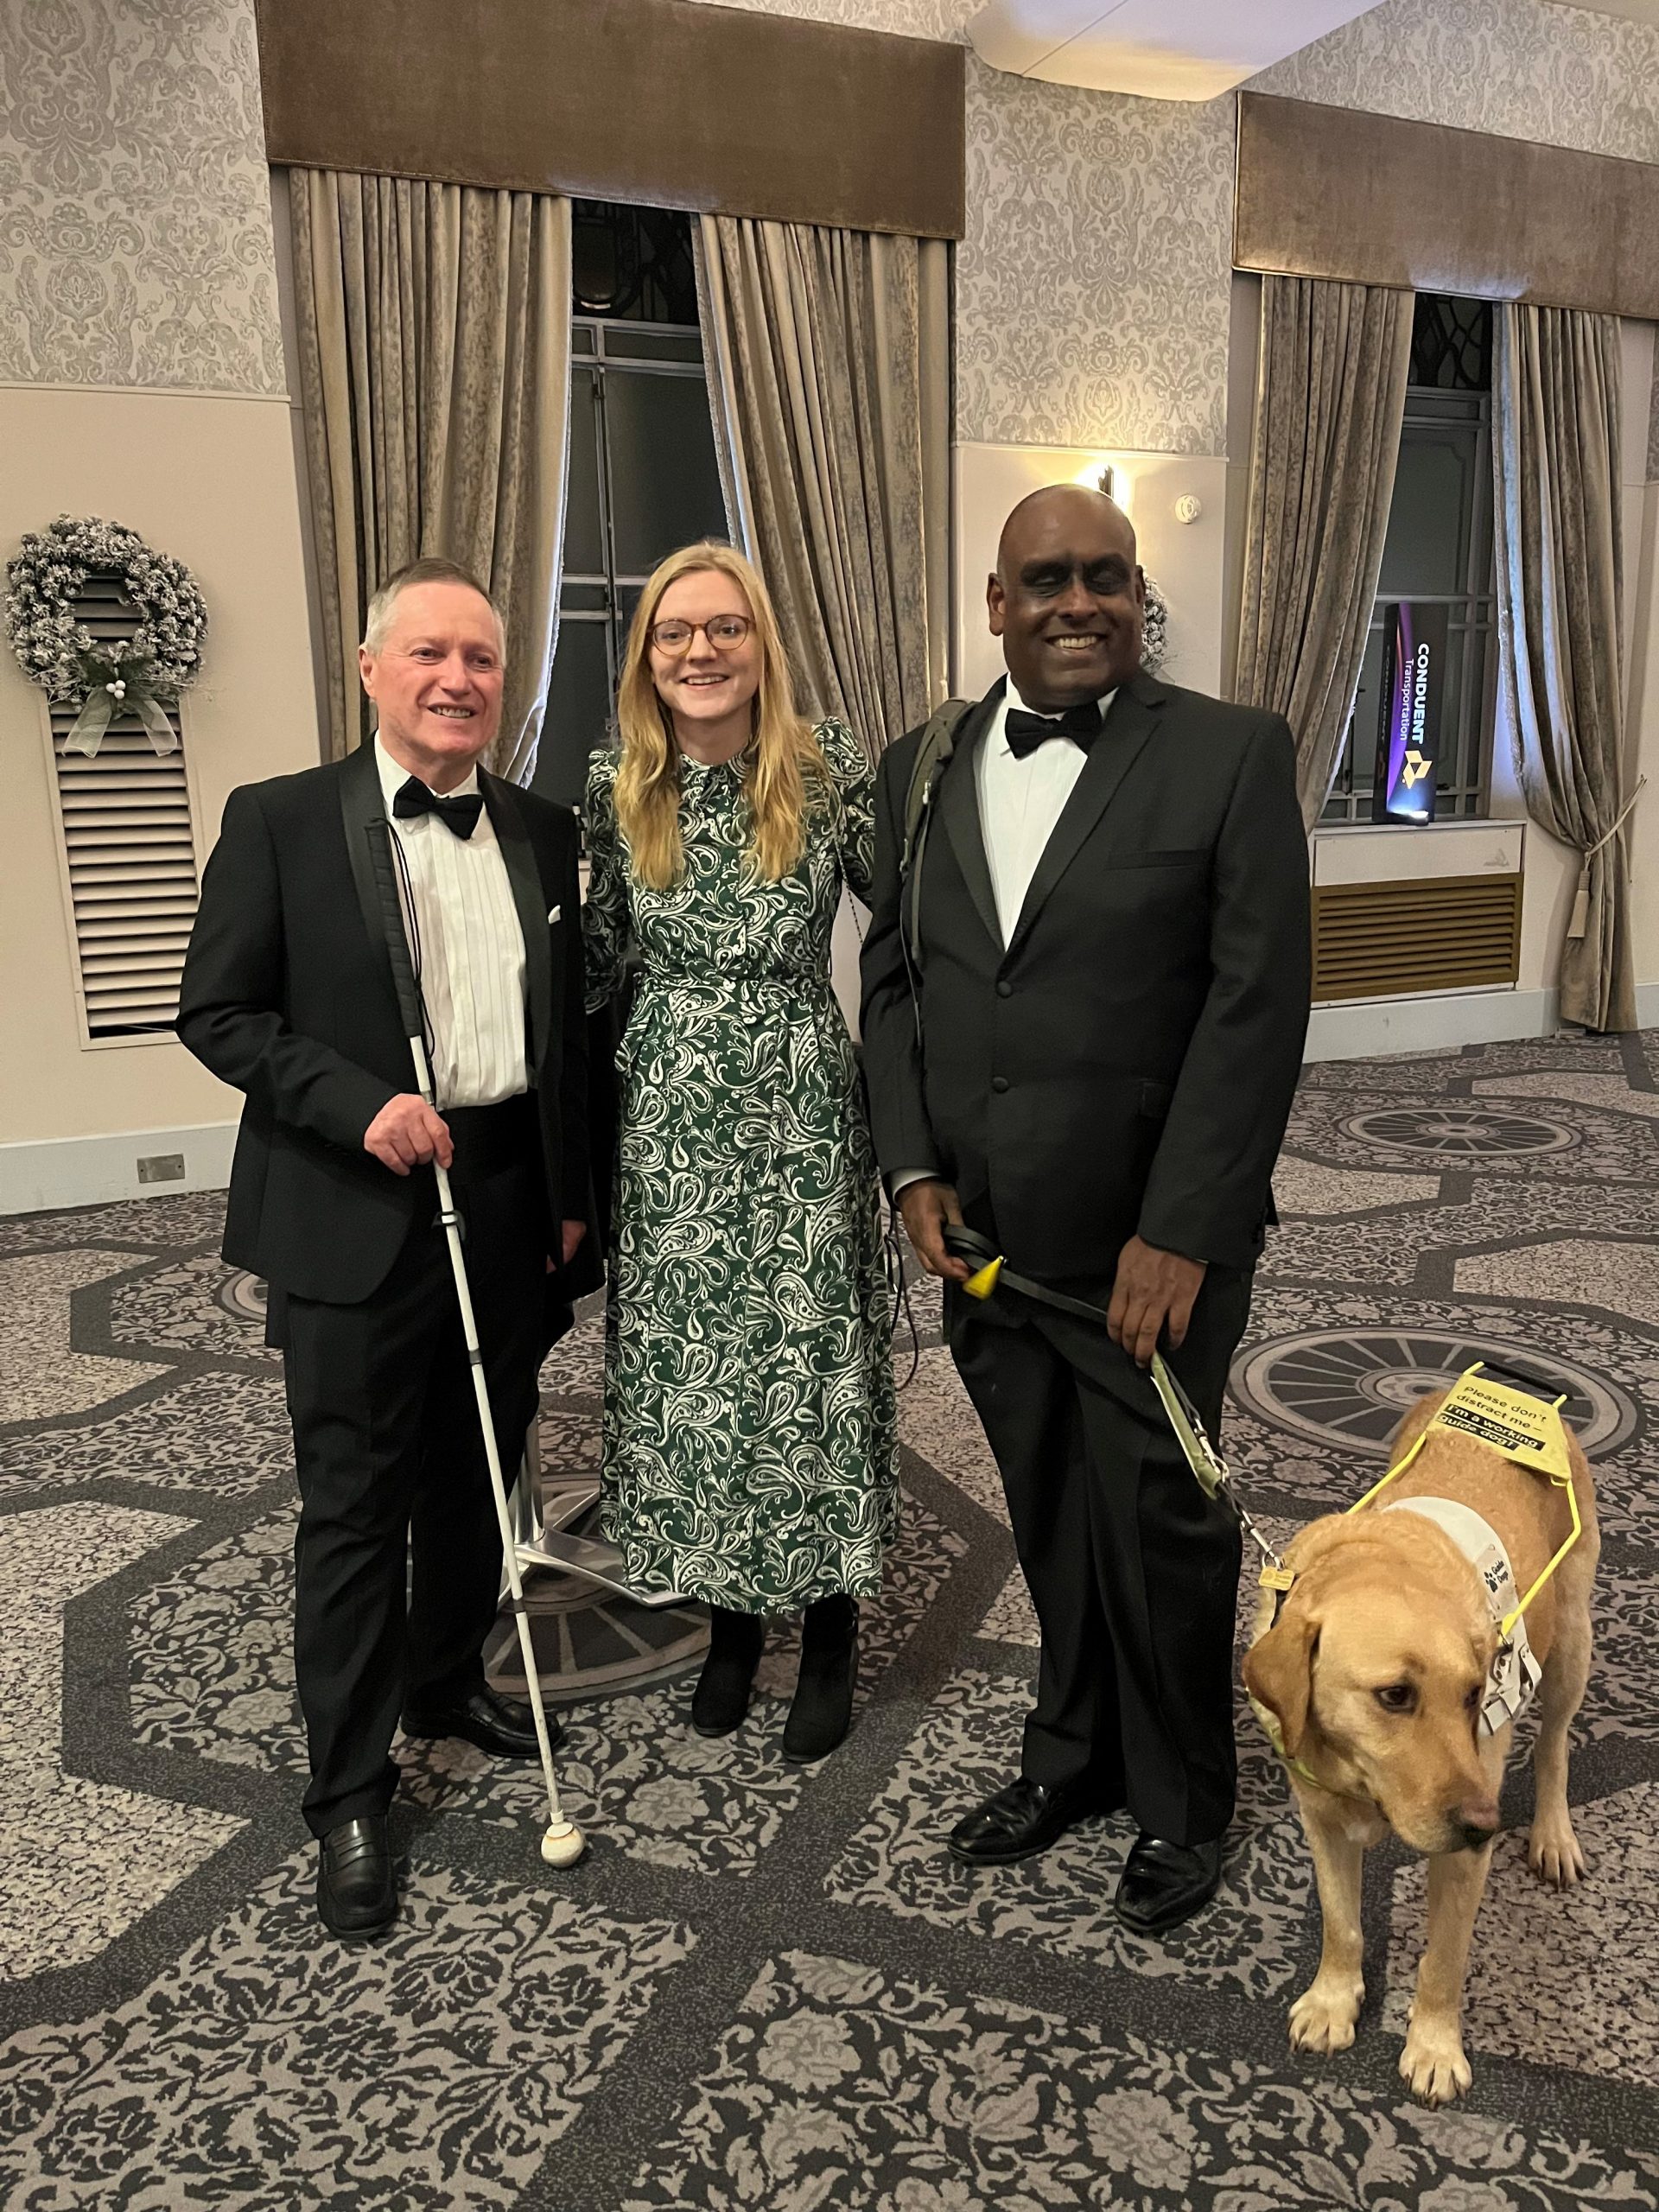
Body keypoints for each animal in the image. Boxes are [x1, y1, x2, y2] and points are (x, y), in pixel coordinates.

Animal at [1247, 1362, 1601, 2106]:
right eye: (1394, 1696)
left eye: (1473, 1695)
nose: (1485, 1822)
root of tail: (1523, 1390)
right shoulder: (1321, 1820)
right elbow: (1342, 1924)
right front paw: (1333, 2000)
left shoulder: (1464, 1856)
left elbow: (1445, 1959)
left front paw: (1434, 2047)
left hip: (1572, 1641)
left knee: (1554, 1746)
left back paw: (1554, 1833)